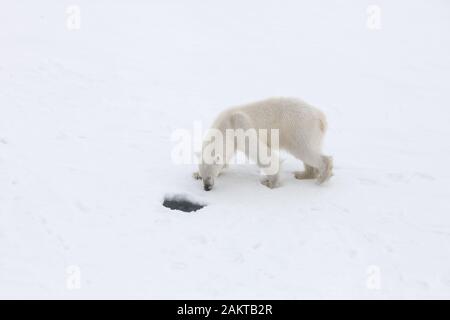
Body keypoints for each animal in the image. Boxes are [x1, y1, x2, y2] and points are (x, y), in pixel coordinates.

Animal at [192, 95, 332, 190]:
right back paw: (303, 174)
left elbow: (260, 151)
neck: (225, 124)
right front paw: (195, 174)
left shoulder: (240, 125)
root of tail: (320, 116)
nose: (207, 187)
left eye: (209, 176)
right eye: (203, 176)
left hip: (299, 127)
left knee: (305, 150)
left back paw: (322, 177)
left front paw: (270, 183)